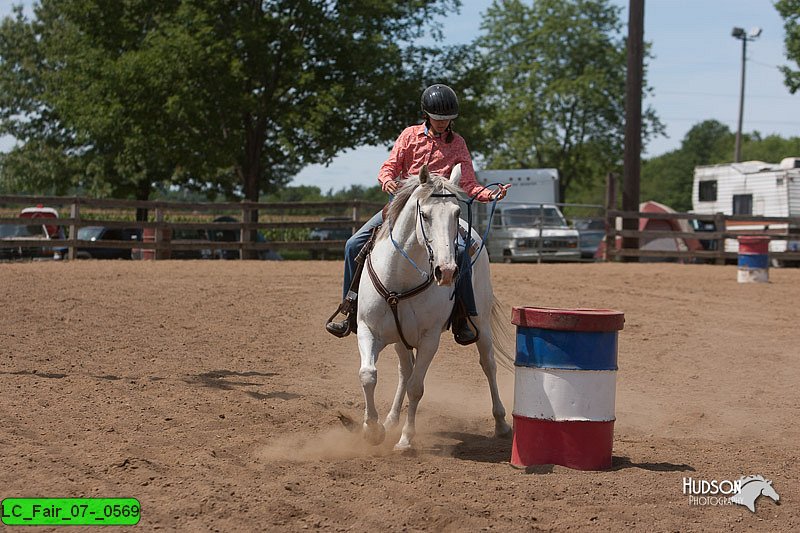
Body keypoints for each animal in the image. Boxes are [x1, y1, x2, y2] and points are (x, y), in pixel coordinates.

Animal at [356, 163, 512, 448]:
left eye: (457, 212)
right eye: (425, 215)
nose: (447, 271)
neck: (401, 277)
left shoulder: (429, 339)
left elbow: (416, 387)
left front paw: (406, 440)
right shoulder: (367, 329)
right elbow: (368, 375)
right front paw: (372, 429)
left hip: (481, 323)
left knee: (489, 365)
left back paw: (501, 423)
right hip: (400, 340)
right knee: (404, 371)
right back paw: (391, 419)